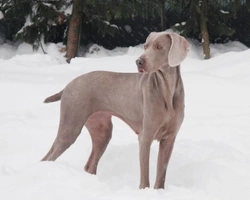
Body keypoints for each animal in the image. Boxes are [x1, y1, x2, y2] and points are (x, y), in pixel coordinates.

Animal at [41, 31, 189, 189]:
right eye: (145, 46)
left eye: (159, 47)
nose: (139, 61)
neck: (167, 89)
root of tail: (68, 85)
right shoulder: (145, 137)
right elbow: (145, 173)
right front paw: (144, 190)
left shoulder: (169, 139)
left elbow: (161, 173)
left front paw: (159, 191)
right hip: (70, 126)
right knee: (48, 156)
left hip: (102, 131)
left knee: (90, 165)